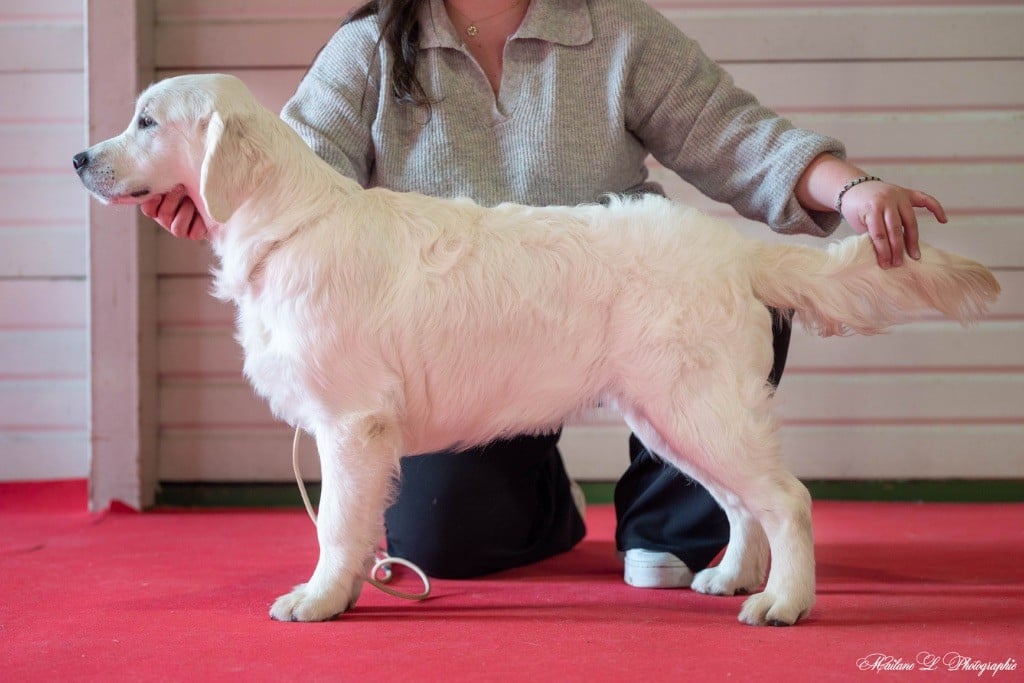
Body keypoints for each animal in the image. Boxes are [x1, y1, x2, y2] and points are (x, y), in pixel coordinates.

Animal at [74, 73, 999, 626]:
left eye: (146, 121)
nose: (81, 157)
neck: (284, 222)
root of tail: (734, 249)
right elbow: (358, 522)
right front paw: (352, 587)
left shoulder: (350, 423)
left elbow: (336, 522)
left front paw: (319, 598)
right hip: (672, 411)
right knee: (745, 505)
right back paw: (733, 576)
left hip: (698, 404)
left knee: (788, 498)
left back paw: (784, 602)